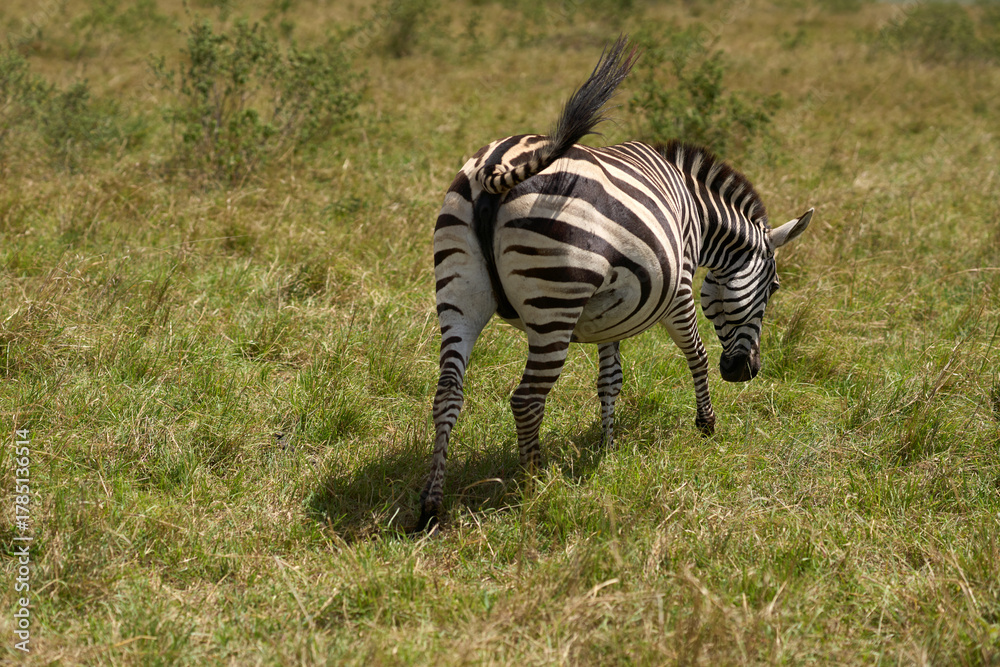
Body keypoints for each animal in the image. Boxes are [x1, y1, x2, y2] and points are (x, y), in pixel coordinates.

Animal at [418, 37, 813, 531]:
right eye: (774, 288)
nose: (746, 372)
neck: (699, 217)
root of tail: (496, 169)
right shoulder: (680, 291)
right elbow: (697, 355)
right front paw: (706, 425)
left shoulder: (613, 309)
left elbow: (610, 378)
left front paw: (605, 448)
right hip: (553, 302)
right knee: (527, 399)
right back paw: (535, 485)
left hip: (458, 293)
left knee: (447, 393)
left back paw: (431, 504)